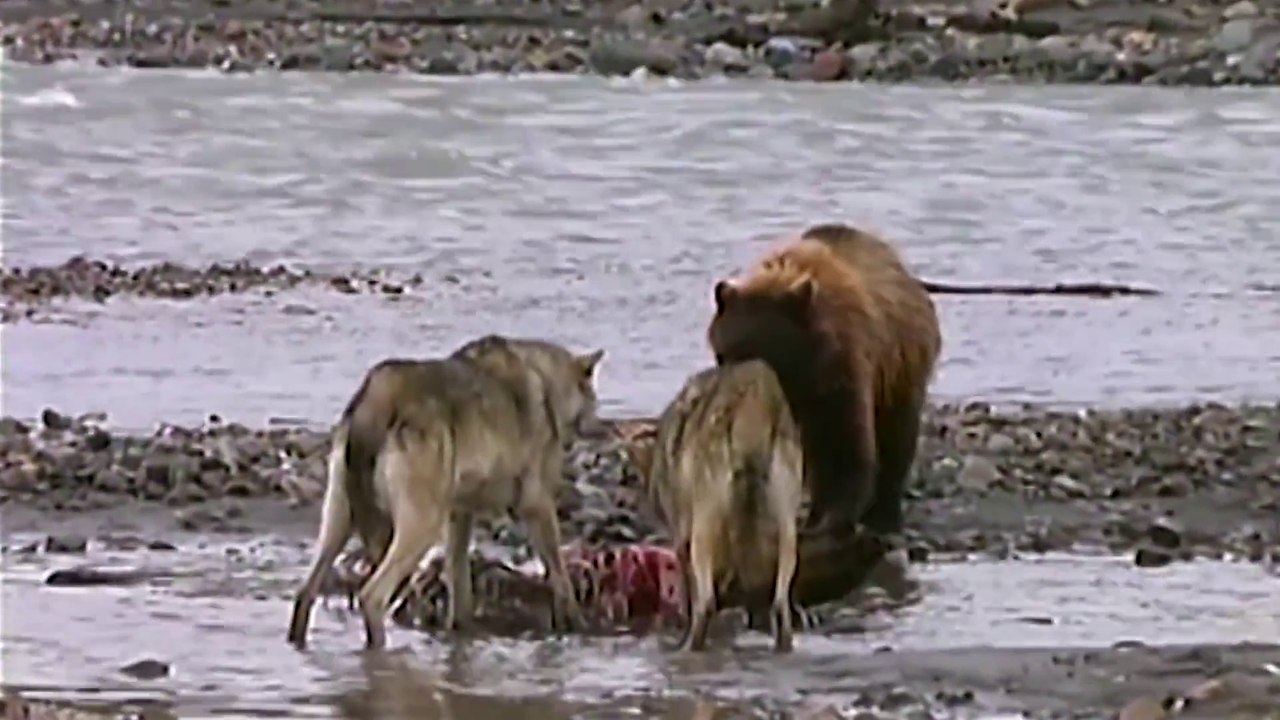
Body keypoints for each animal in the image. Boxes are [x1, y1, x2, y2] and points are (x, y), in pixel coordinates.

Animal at [286, 334, 606, 651]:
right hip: (421, 526)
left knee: (306, 591)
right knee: (371, 597)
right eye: (594, 399)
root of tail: (381, 394)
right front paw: (577, 628)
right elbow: (560, 577)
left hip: (339, 519)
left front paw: (461, 635)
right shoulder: (537, 506)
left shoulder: (459, 513)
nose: (603, 427)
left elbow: (459, 580)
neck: (546, 380)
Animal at [622, 359, 804, 653]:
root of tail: (754, 394)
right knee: (780, 606)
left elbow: (690, 593)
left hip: (705, 527)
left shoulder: (682, 540)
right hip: (786, 528)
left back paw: (689, 645)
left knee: (706, 604)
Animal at [705, 222, 942, 538]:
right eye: (724, 354)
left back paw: (884, 515)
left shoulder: (840, 373)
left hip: (901, 368)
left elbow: (844, 440)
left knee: (897, 435)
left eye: (762, 354)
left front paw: (834, 517)